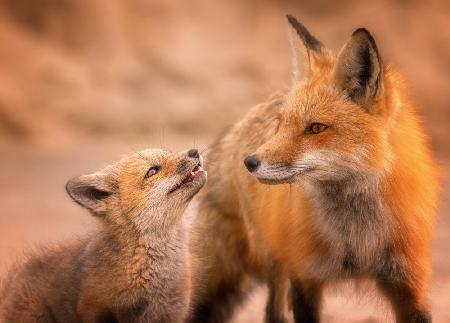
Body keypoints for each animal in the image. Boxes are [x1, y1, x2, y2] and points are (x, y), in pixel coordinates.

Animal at [188, 15, 438, 323]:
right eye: (281, 124)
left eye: (316, 128)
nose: (250, 162)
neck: (356, 239)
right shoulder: (305, 275)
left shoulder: (407, 281)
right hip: (272, 257)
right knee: (272, 310)